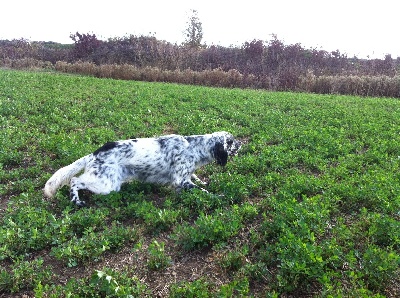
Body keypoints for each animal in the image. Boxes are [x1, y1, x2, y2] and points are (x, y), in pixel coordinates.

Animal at [45, 132, 242, 206]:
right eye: (231, 141)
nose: (242, 143)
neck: (194, 147)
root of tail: (94, 154)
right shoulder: (180, 179)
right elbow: (204, 192)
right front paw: (219, 197)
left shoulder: (183, 178)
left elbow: (196, 180)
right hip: (107, 185)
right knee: (74, 180)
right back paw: (76, 200)